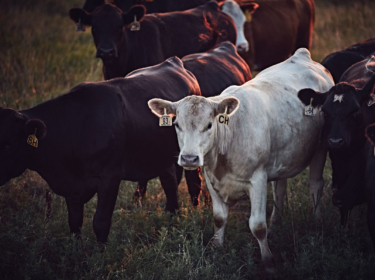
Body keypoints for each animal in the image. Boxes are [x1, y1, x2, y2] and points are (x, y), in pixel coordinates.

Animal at [0, 57, 203, 243]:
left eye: (10, 144)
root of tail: (173, 61)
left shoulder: (109, 178)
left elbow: (100, 222)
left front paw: (100, 255)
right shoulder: (73, 189)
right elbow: (74, 222)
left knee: (194, 183)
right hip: (160, 155)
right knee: (170, 184)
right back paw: (171, 217)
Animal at [148, 48, 334, 278]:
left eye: (209, 125)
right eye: (176, 124)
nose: (189, 158)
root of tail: (302, 54)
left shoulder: (258, 179)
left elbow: (258, 226)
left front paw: (269, 262)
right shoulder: (211, 179)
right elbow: (219, 218)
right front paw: (216, 250)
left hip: (320, 148)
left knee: (316, 185)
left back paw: (317, 225)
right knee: (280, 189)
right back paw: (276, 224)